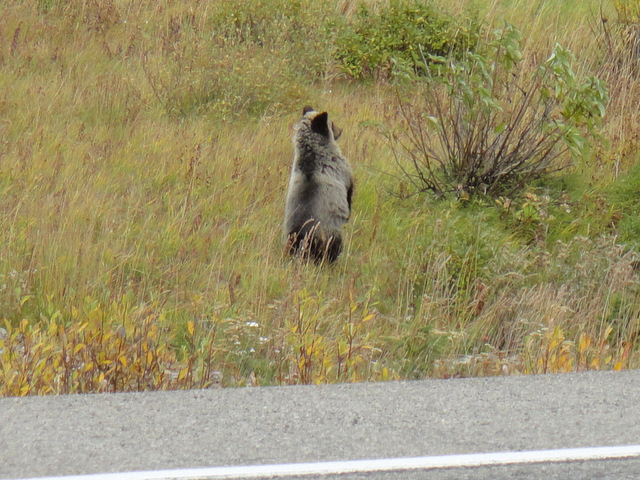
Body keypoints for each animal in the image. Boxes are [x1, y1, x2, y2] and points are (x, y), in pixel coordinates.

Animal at [283, 106, 354, 264]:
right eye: (331, 123)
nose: (340, 130)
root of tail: (302, 235)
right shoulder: (344, 173)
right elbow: (349, 196)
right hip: (329, 235)